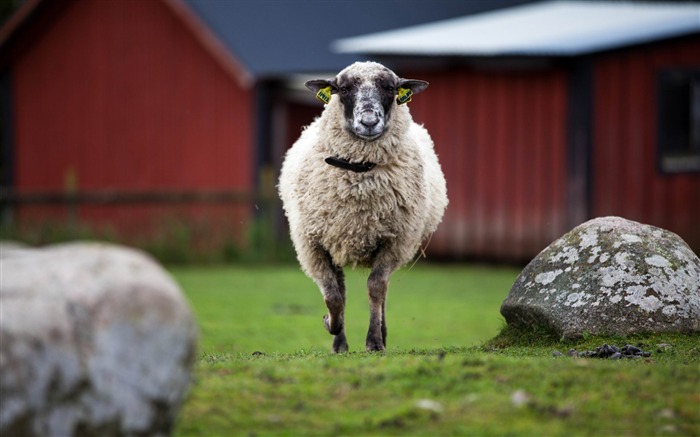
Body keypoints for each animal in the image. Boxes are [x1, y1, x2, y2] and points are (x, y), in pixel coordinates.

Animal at [276, 60, 446, 350]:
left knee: (382, 289)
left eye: (390, 88)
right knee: (342, 289)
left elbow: (376, 288)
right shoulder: (313, 245)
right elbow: (333, 296)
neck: (358, 175)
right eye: (343, 89)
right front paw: (332, 327)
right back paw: (340, 342)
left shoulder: (394, 241)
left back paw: (381, 334)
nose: (368, 122)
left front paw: (374, 341)